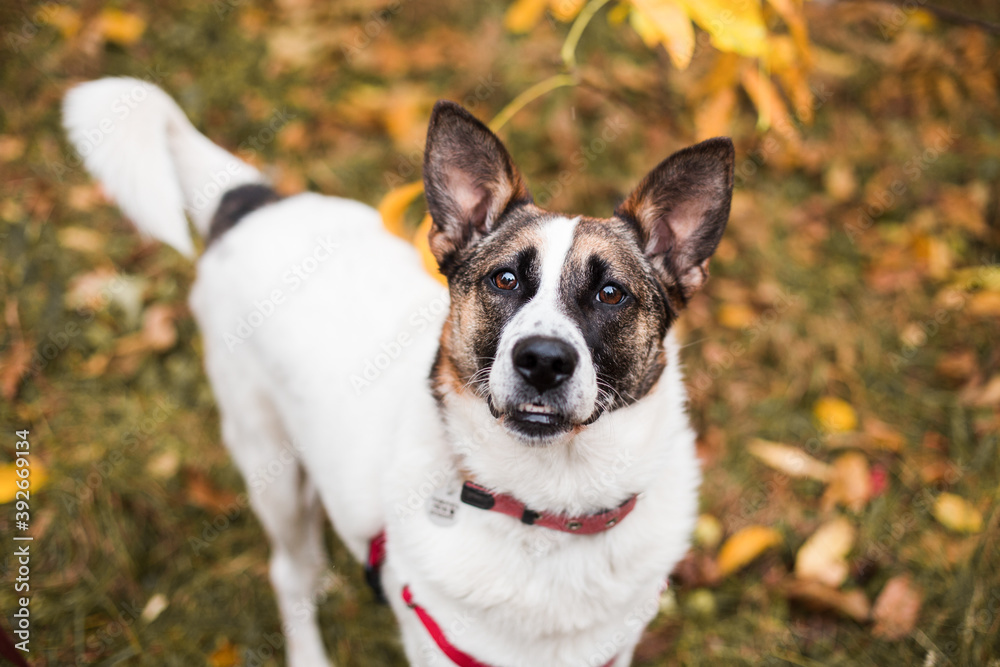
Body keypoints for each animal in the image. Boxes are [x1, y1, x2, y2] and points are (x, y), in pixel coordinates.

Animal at [64, 78, 736, 667]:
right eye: (505, 280)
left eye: (611, 294)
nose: (542, 361)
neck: (546, 508)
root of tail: (256, 204)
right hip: (268, 462)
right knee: (289, 573)